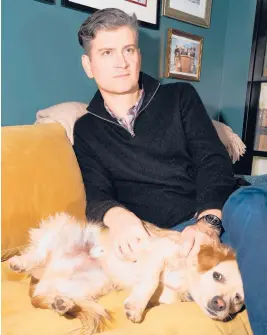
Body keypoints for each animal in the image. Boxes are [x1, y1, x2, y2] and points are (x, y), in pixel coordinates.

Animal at [8, 214, 245, 334]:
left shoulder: (168, 294)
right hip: (63, 229)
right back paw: (20, 262)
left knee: (48, 295)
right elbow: (150, 281)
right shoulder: (157, 252)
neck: (185, 278)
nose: (219, 304)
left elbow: (159, 292)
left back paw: (62, 303)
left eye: (237, 298)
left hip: (91, 282)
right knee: (39, 252)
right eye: (217, 276)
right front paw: (136, 308)